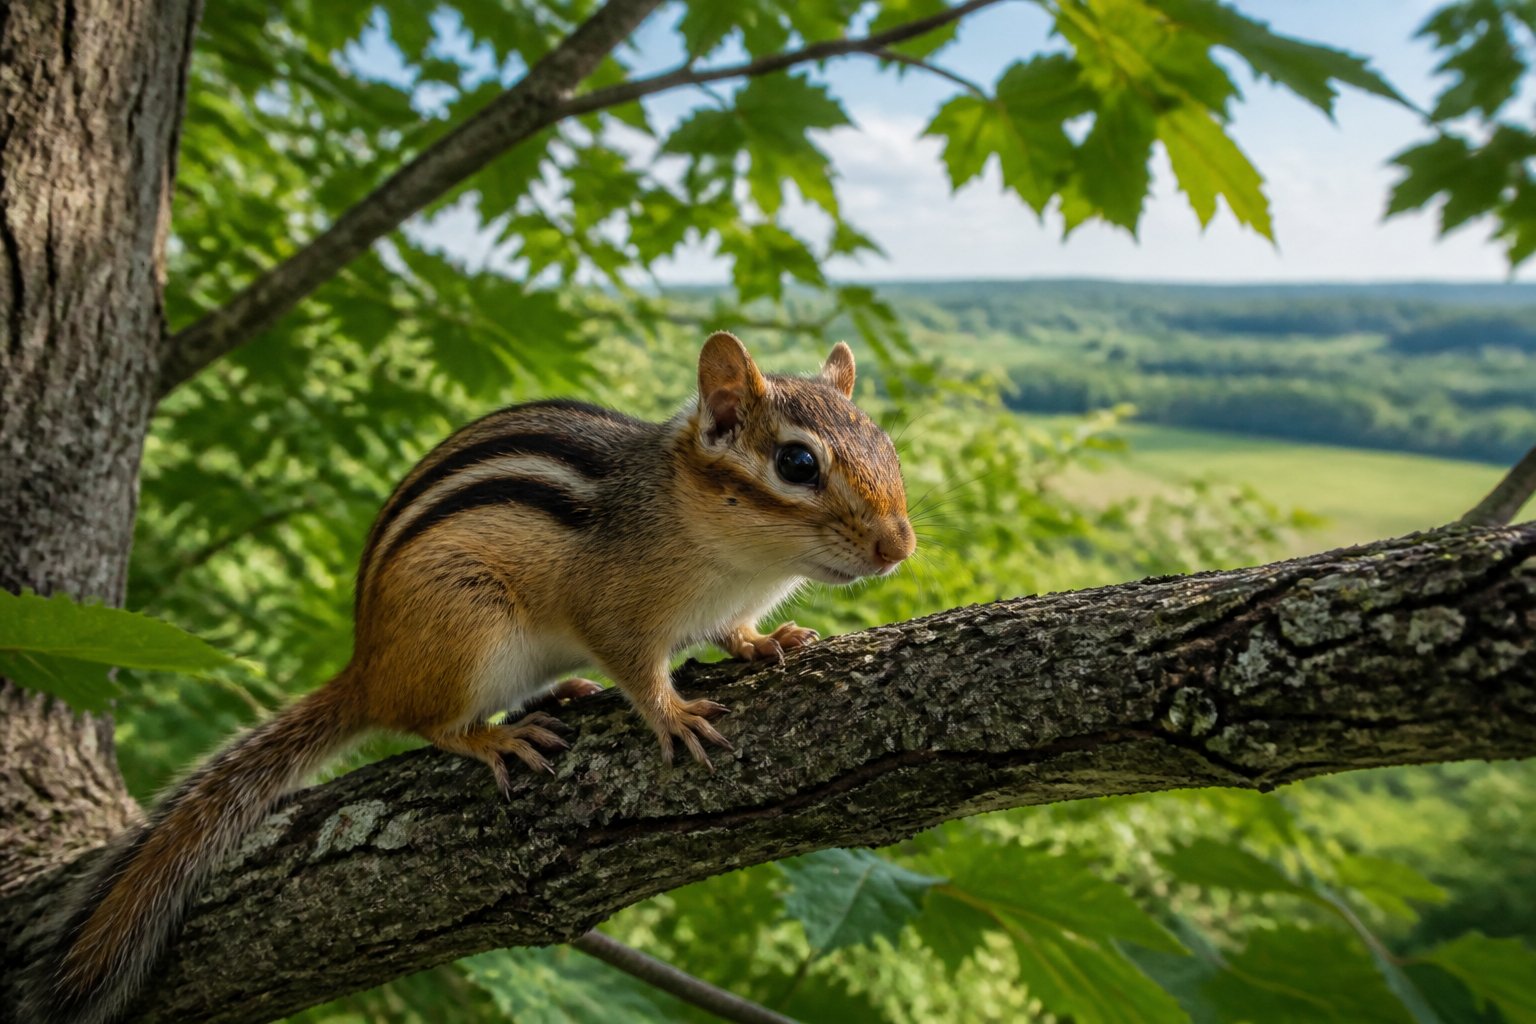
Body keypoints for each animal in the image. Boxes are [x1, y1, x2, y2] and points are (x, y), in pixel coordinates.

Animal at [25, 332, 916, 1024]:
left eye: (887, 445)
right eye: (797, 463)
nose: (899, 546)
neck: (732, 554)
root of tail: (368, 667)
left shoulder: (726, 605)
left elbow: (735, 633)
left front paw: (768, 642)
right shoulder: (616, 612)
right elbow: (636, 667)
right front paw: (672, 714)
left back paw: (561, 692)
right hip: (470, 630)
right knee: (428, 723)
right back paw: (495, 738)